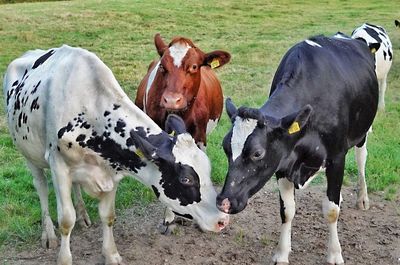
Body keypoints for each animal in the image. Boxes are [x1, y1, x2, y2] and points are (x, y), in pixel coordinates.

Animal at [3, 44, 230, 262]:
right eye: (185, 180)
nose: (223, 220)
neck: (90, 110)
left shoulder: (112, 169)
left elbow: (108, 216)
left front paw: (111, 255)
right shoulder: (59, 166)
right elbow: (66, 220)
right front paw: (64, 258)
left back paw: (83, 215)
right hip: (28, 153)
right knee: (41, 187)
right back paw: (48, 233)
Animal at [216, 35, 378, 264]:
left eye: (257, 153)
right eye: (225, 147)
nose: (223, 202)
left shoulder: (337, 157)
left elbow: (331, 211)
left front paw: (334, 254)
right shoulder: (283, 161)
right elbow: (287, 211)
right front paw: (281, 254)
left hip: (362, 133)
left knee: (361, 158)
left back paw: (362, 198)